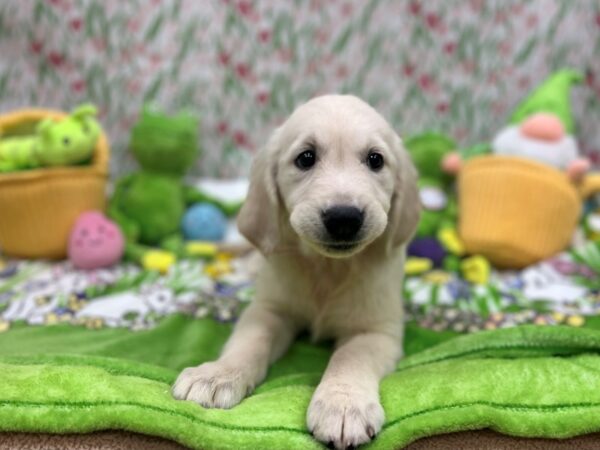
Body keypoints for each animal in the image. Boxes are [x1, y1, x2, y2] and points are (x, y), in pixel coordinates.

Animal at [171, 95, 420, 450]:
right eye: (306, 158)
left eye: (376, 160)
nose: (344, 218)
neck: (328, 267)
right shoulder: (269, 309)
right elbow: (250, 340)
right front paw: (217, 375)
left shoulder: (376, 330)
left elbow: (350, 356)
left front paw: (343, 405)